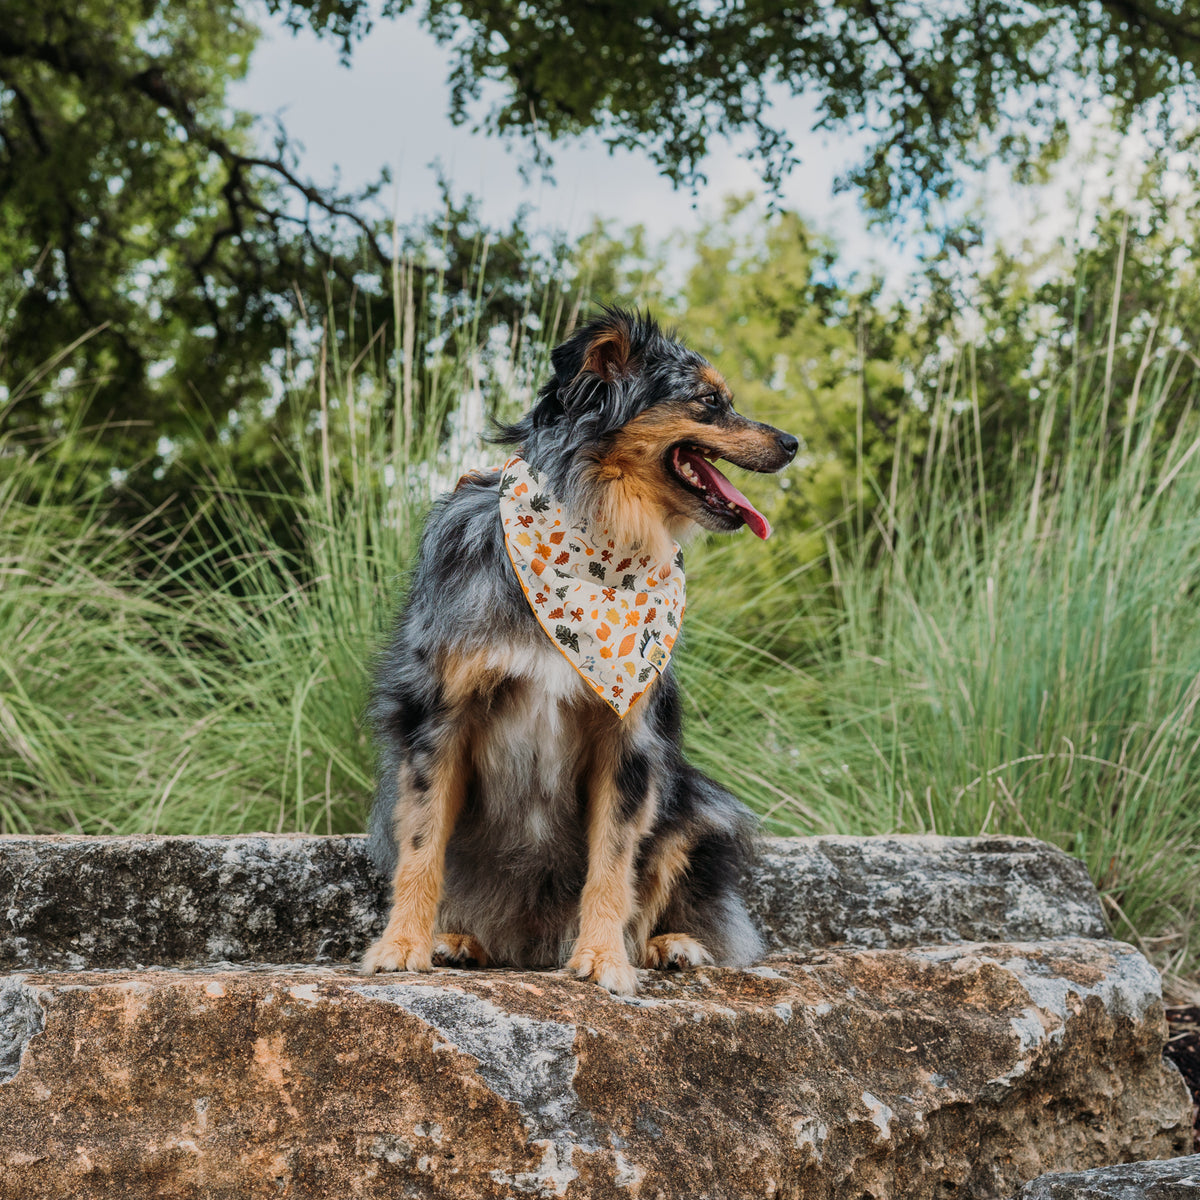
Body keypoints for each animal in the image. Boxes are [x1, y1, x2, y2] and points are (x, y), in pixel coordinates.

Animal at [360, 309, 801, 993]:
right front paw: (401, 945)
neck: (593, 537)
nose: (792, 442)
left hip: (695, 804)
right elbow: (421, 845)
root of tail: (531, 940)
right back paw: (457, 939)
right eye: (709, 401)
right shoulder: (438, 716)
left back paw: (669, 945)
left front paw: (602, 959)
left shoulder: (629, 738)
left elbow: (613, 864)